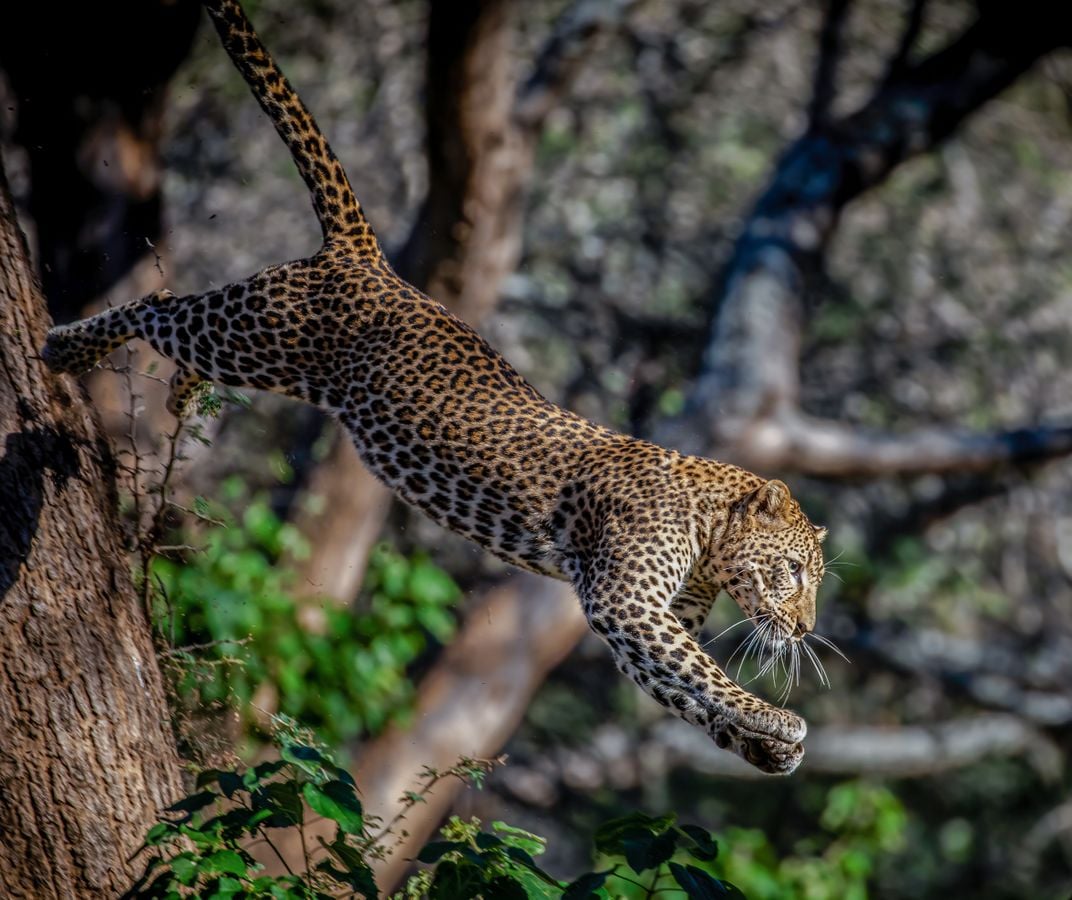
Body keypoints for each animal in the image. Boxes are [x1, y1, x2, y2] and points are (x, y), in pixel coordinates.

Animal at [41, 0, 827, 771]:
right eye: (792, 571)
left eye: (813, 579)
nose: (804, 626)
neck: (709, 535)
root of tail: (367, 259)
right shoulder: (626, 602)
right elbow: (704, 673)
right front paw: (779, 720)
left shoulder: (647, 620)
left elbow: (684, 687)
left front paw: (760, 745)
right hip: (256, 335)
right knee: (159, 306)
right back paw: (65, 346)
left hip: (259, 351)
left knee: (177, 333)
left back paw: (178, 395)